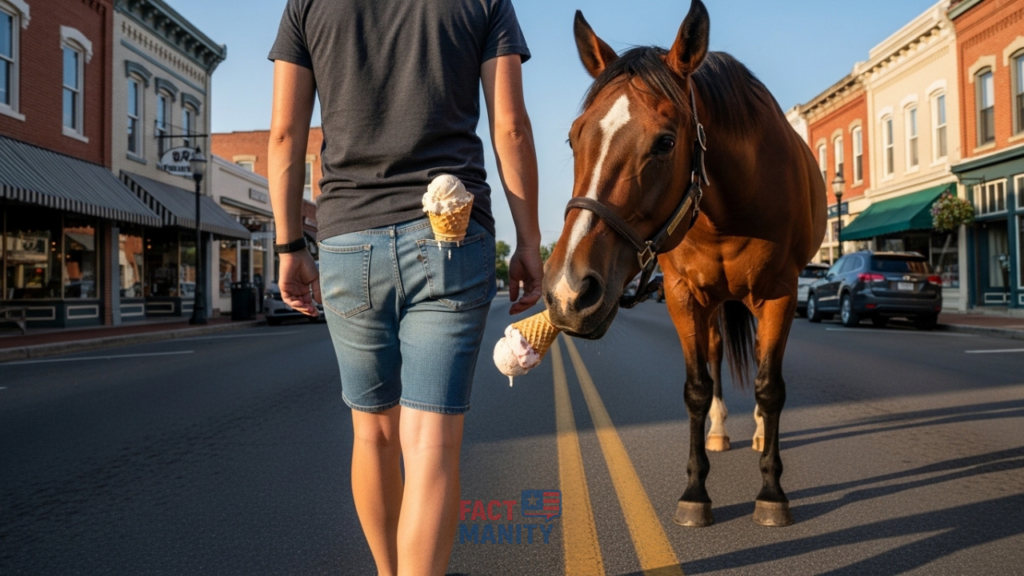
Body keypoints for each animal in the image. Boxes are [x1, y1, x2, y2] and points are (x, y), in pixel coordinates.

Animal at [543, 0, 826, 527]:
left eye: (665, 142)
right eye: (573, 138)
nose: (569, 291)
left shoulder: (781, 292)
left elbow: (770, 387)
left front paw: (772, 491)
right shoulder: (682, 295)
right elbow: (697, 387)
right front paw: (696, 490)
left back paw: (760, 432)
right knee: (715, 354)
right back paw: (719, 429)